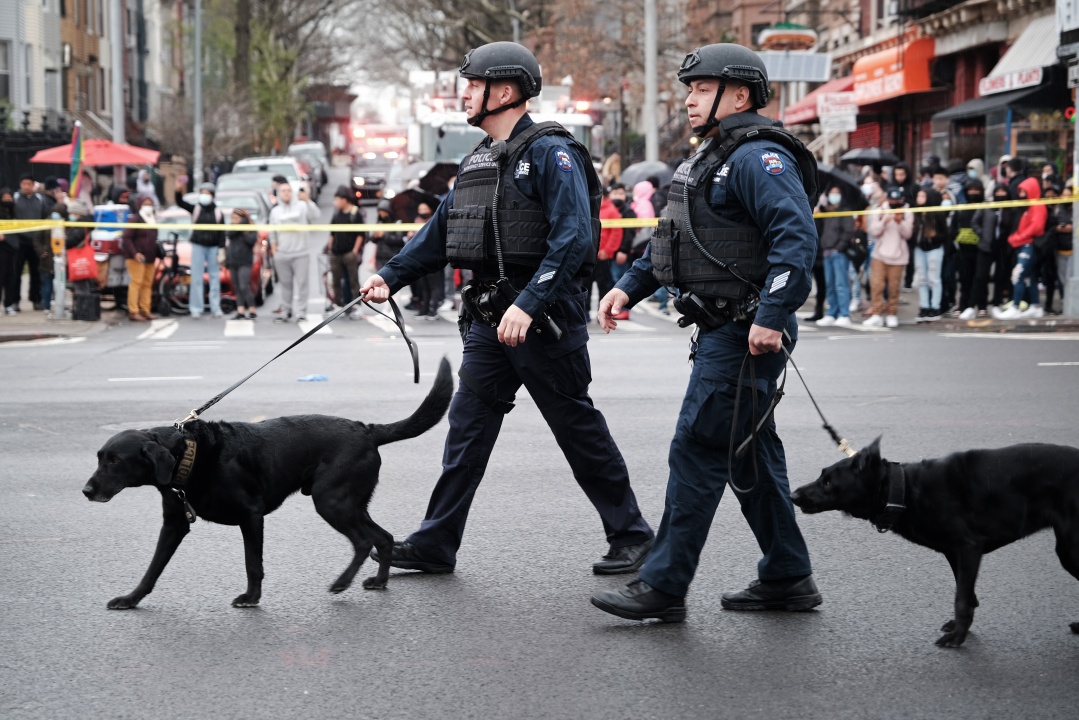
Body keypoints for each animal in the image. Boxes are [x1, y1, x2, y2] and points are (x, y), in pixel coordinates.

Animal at [83, 358, 451, 613]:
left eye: (114, 461)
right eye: (100, 457)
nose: (86, 491)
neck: (190, 453)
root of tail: (367, 429)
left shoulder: (251, 515)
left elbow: (253, 563)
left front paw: (251, 597)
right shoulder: (174, 525)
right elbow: (152, 568)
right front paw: (131, 599)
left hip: (331, 501)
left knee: (363, 542)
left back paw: (341, 583)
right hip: (350, 503)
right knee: (383, 538)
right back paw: (379, 581)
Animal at [789, 436, 1074, 651]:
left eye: (828, 482)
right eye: (821, 476)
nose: (792, 495)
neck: (904, 490)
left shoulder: (968, 548)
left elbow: (961, 599)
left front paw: (957, 637)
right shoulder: (955, 555)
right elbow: (966, 593)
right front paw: (961, 628)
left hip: (1069, 551)